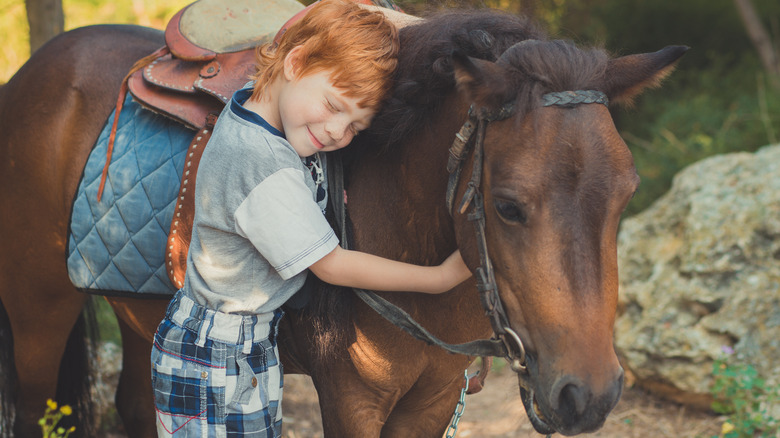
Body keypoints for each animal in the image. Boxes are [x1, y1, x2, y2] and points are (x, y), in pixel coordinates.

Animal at [0, 7, 684, 438]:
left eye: (626, 196)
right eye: (509, 206)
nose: (590, 395)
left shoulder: (434, 399)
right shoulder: (354, 399)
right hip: (38, 312)